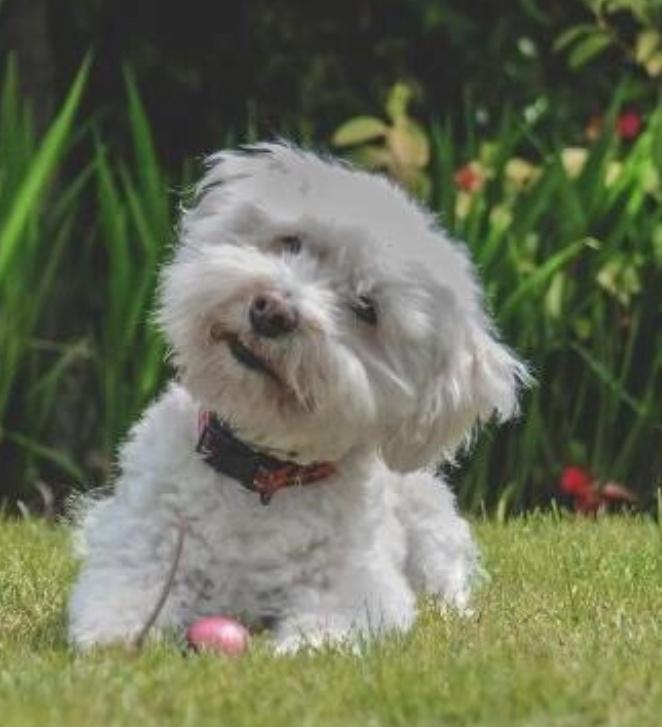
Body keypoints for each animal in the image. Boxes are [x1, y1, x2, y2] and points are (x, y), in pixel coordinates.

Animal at [66, 142, 524, 656]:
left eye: (366, 309)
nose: (273, 311)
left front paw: (298, 649)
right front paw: (114, 638)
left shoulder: (357, 587)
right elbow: (126, 595)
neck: (260, 474)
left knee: (449, 581)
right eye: (291, 243)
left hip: (430, 523)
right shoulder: (142, 547)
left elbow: (332, 625)